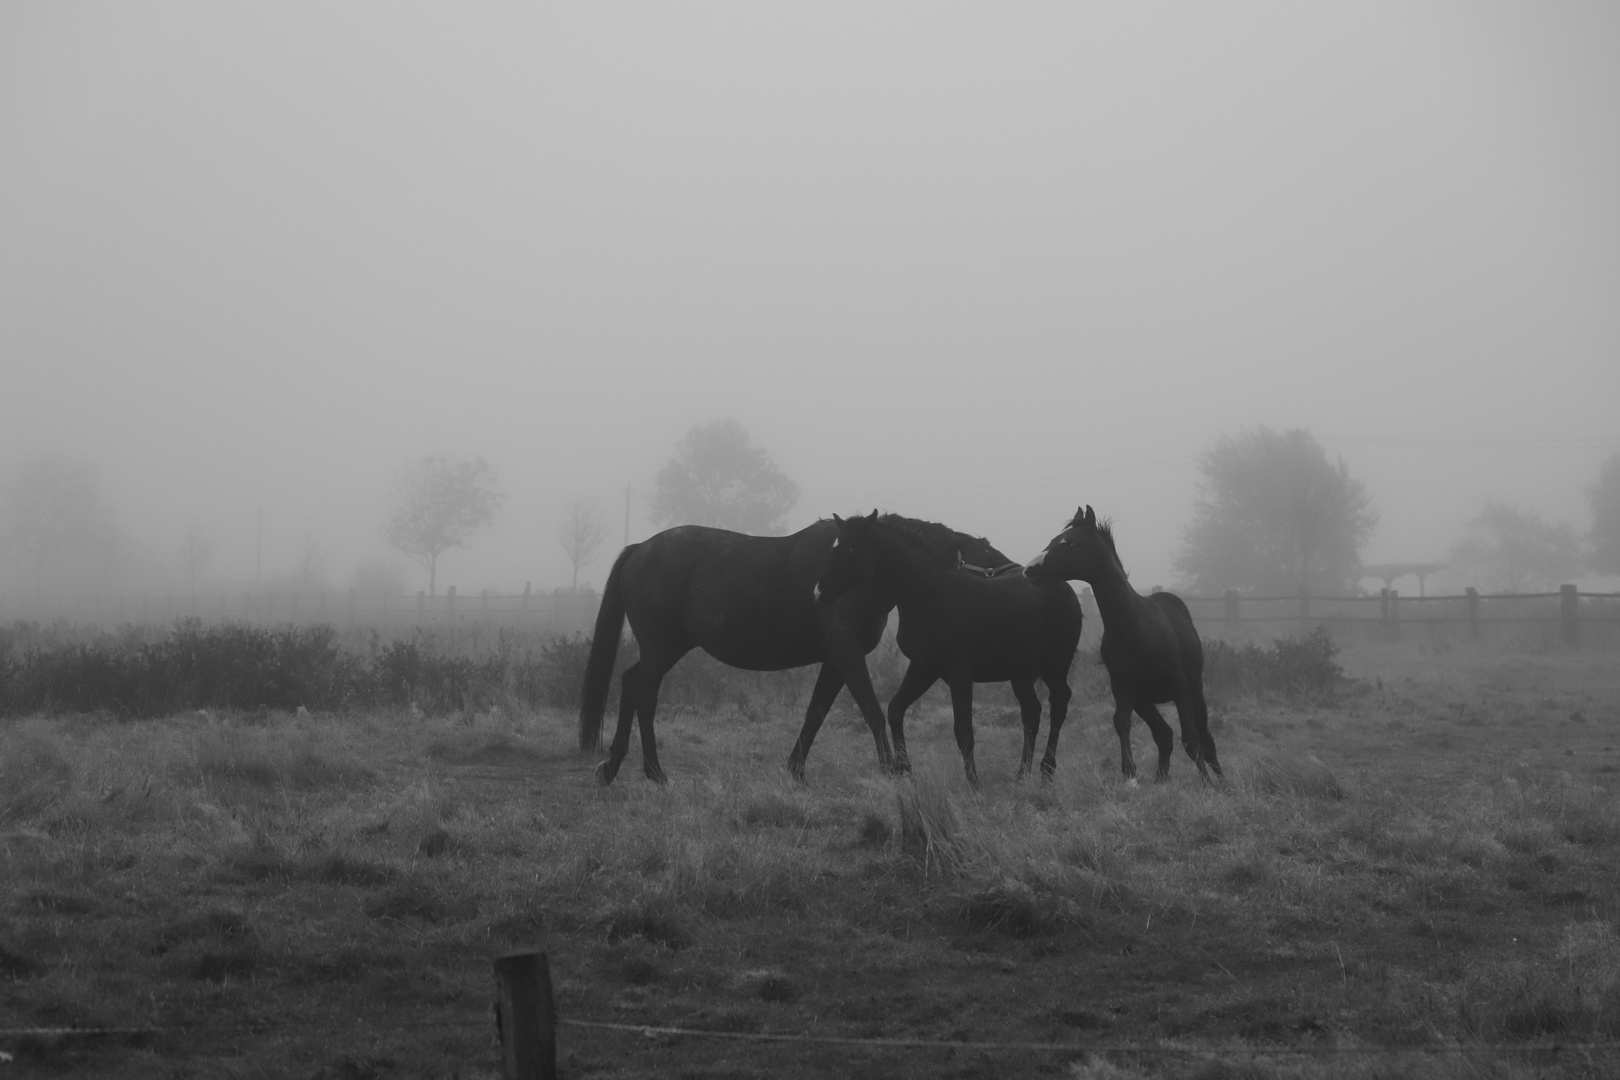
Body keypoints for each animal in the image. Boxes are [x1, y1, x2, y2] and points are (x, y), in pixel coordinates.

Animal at [576, 514, 1004, 786]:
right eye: (987, 556)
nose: (1015, 571)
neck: (855, 576)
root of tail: (640, 549)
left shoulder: (835, 661)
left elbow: (815, 714)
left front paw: (796, 770)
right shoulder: (847, 655)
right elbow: (872, 710)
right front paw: (891, 769)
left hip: (667, 647)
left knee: (630, 684)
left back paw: (613, 765)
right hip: (661, 646)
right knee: (644, 694)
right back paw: (653, 771)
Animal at [816, 511, 1082, 780]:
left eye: (850, 549)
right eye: (833, 548)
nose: (819, 592)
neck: (931, 597)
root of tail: (1065, 587)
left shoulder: (959, 673)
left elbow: (963, 731)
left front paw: (974, 784)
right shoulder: (924, 667)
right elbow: (895, 710)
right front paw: (905, 770)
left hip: (1055, 666)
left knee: (1059, 704)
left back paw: (1046, 771)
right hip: (1020, 673)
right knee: (1031, 712)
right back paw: (1021, 777)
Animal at [1030, 508, 1218, 786]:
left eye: (1071, 543)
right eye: (1054, 540)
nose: (1029, 569)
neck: (1133, 627)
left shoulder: (1180, 685)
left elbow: (1192, 739)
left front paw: (1209, 787)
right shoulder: (1123, 687)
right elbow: (1121, 723)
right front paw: (1131, 777)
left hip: (1194, 690)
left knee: (1205, 738)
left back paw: (1222, 783)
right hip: (1144, 700)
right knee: (1164, 734)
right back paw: (1160, 781)